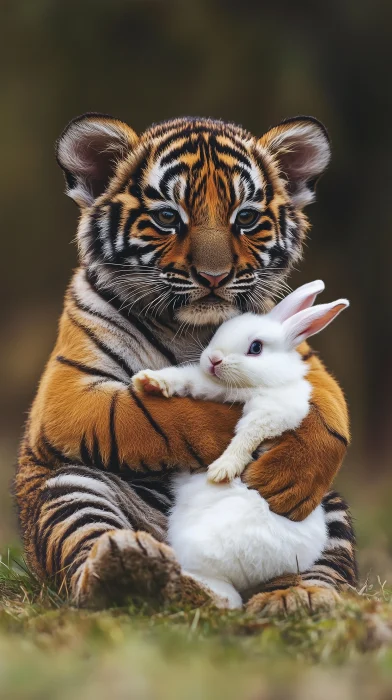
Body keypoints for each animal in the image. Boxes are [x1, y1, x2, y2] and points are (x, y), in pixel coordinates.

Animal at [132, 280, 350, 608]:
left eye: (256, 348)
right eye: (221, 331)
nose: (213, 359)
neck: (252, 386)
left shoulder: (274, 410)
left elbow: (247, 434)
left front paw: (222, 469)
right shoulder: (211, 386)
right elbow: (187, 380)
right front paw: (149, 382)